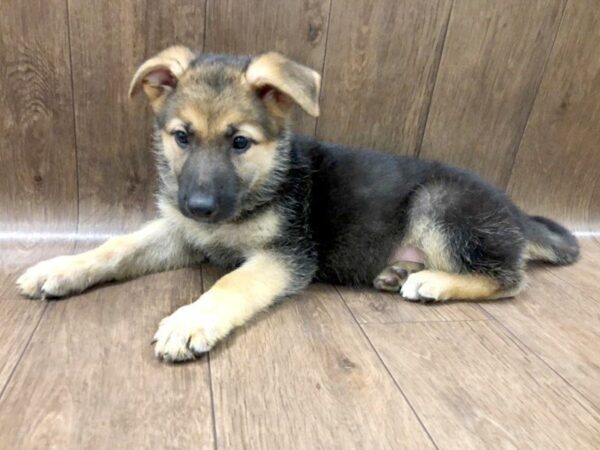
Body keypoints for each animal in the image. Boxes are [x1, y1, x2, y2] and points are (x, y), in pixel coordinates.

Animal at [16, 46, 580, 362]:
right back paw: (400, 272)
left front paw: (191, 320)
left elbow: (230, 284)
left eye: (239, 142)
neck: (259, 184)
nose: (198, 205)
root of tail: (515, 210)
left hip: (440, 204)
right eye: (181, 137)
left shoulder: (287, 254)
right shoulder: (183, 233)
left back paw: (432, 282)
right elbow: (117, 247)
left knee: (510, 281)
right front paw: (60, 267)